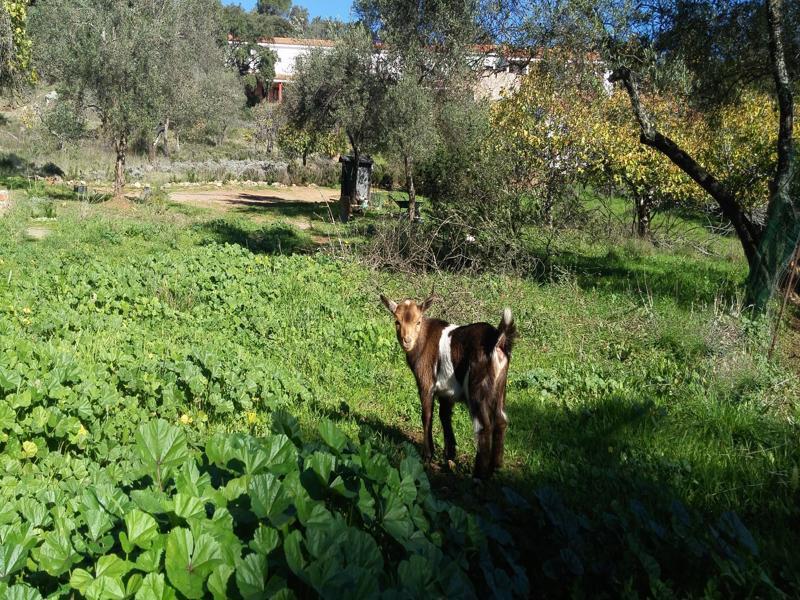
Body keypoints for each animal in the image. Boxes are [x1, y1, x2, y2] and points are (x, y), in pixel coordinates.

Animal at [382, 290, 520, 478]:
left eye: (418, 321)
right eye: (397, 321)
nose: (407, 340)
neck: (423, 339)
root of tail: (498, 340)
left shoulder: (426, 382)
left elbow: (427, 415)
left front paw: (428, 455)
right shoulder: (447, 392)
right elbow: (445, 416)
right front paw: (450, 454)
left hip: (478, 388)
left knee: (484, 425)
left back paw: (478, 475)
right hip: (500, 387)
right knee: (501, 420)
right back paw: (495, 468)